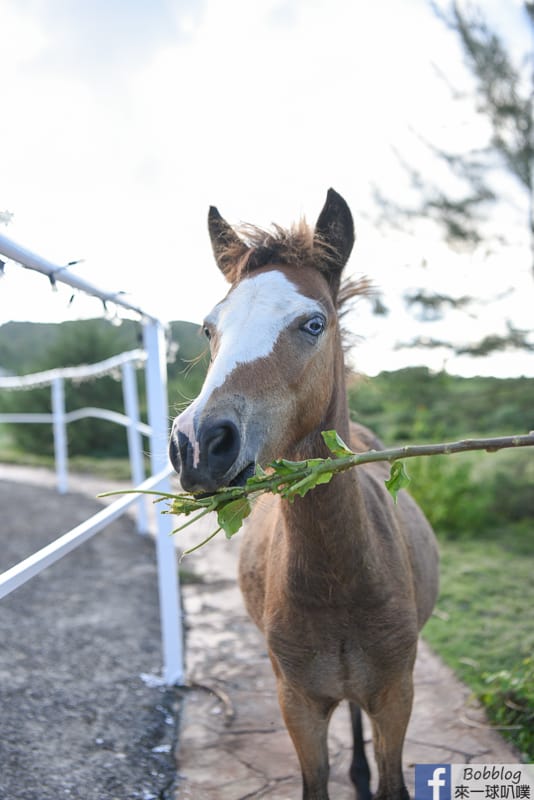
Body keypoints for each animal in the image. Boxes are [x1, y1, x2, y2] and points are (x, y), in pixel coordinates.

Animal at [171, 189, 440, 800]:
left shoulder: (398, 697)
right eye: (208, 329)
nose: (198, 444)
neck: (339, 581)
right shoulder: (296, 705)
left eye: (313, 323)